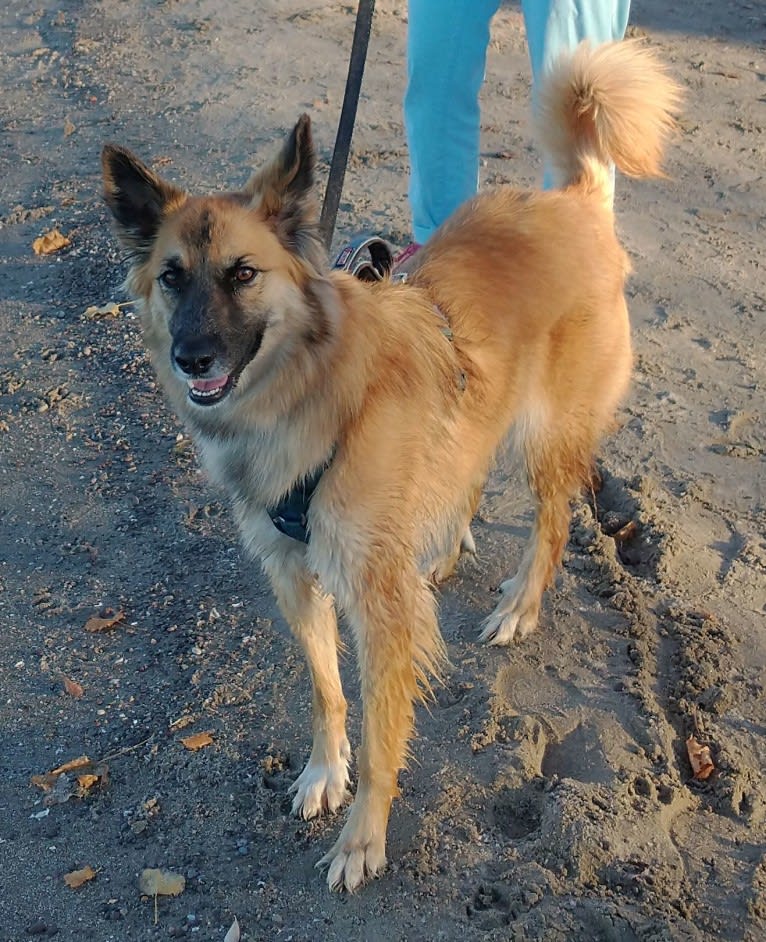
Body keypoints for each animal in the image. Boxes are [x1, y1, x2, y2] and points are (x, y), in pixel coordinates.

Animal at [103, 38, 684, 892]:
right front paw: (323, 774)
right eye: (173, 276)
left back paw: (520, 606)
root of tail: (572, 199)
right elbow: (325, 691)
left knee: (551, 523)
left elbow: (382, 733)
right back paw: (441, 550)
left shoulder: (377, 603)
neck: (311, 395)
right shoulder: (293, 573)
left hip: (546, 437)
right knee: (466, 473)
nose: (191, 357)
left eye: (243, 273)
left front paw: (363, 838)